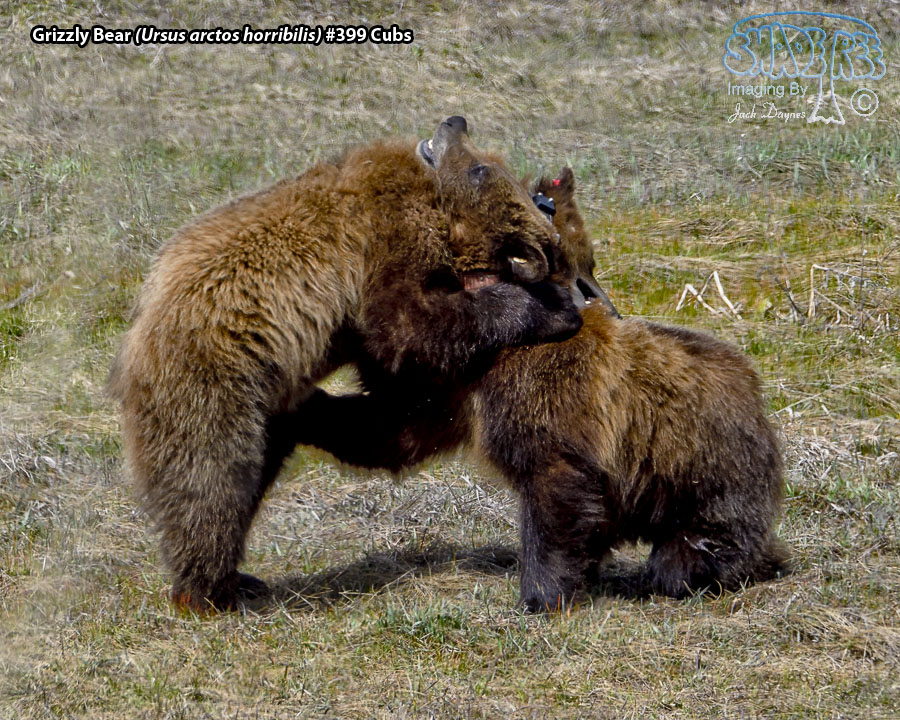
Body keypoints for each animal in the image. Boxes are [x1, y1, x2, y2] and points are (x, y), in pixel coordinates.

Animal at [107, 116, 584, 611]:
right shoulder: (386, 230)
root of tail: (134, 340)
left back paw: (239, 577)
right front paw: (551, 307)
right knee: (209, 485)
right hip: (210, 379)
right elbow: (406, 325)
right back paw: (210, 589)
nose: (454, 122)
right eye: (480, 167)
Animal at [294, 169, 788, 612]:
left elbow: (554, 486)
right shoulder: (460, 393)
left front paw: (540, 594)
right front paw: (309, 409)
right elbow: (394, 430)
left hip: (704, 473)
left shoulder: (543, 397)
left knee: (693, 548)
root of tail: (756, 397)